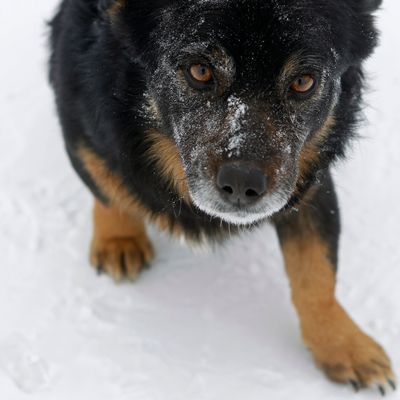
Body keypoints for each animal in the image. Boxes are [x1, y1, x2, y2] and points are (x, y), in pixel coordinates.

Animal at [48, 0, 396, 394]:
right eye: (200, 71)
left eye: (303, 82)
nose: (243, 183)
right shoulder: (81, 124)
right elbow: (106, 185)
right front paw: (119, 238)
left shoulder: (308, 179)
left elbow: (316, 275)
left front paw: (343, 346)